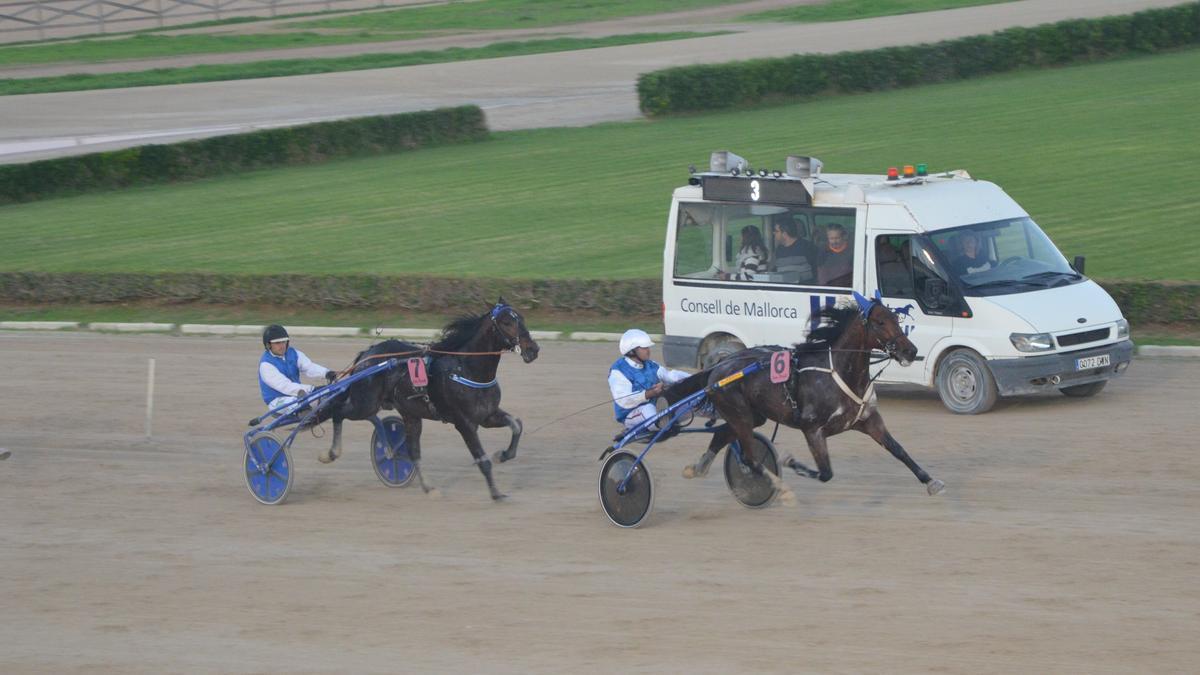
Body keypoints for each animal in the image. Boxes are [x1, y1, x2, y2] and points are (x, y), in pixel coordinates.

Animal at [309, 299, 540, 499]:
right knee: (338, 412)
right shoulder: (464, 423)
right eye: (507, 322)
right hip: (364, 404)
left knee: (412, 450)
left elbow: (517, 425)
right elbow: (482, 459)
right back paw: (330, 454)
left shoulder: (487, 416)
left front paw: (503, 455)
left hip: (409, 413)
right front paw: (496, 494)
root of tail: (367, 354)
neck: (466, 369)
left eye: (521, 318)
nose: (533, 349)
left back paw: (428, 487)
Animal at [672, 291, 940, 497]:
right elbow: (825, 473)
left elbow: (899, 450)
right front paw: (790, 462)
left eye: (896, 318)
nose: (910, 350)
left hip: (750, 416)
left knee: (723, 437)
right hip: (740, 413)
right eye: (880, 322)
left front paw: (931, 481)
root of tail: (717, 368)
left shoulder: (868, 420)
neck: (841, 373)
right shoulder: (812, 429)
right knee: (751, 460)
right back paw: (778, 487)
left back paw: (697, 468)